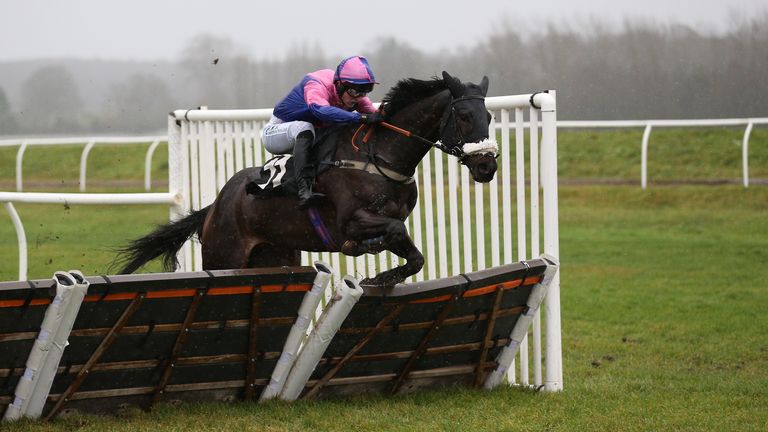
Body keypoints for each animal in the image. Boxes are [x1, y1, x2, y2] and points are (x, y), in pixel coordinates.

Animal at [116, 71, 496, 286]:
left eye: (489, 116)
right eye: (464, 115)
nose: (487, 166)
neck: (378, 156)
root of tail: (214, 207)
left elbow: (414, 255)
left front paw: (383, 275)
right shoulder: (350, 222)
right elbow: (392, 231)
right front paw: (374, 267)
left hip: (275, 255)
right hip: (224, 256)